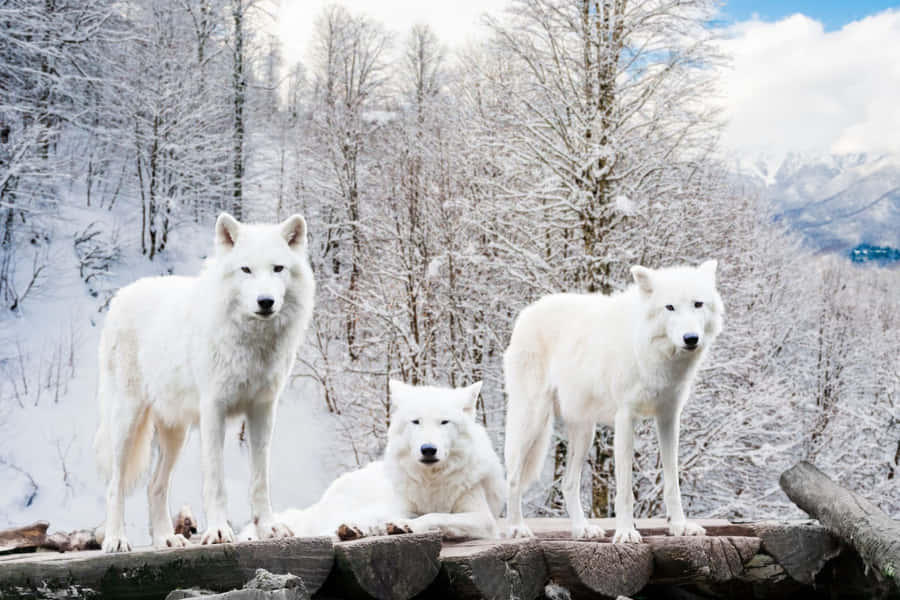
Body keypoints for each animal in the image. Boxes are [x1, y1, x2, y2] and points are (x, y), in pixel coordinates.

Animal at [93, 213, 315, 552]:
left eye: (278, 268)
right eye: (246, 269)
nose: (265, 301)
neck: (252, 343)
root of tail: (121, 295)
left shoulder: (263, 410)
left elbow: (260, 479)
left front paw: (269, 528)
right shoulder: (214, 410)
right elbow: (216, 480)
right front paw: (219, 531)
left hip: (175, 434)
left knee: (154, 486)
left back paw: (166, 539)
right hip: (126, 422)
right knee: (114, 484)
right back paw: (116, 540)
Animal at [240, 380, 505, 541]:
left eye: (444, 422)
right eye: (416, 422)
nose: (428, 449)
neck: (432, 482)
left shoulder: (483, 519)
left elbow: (437, 517)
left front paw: (407, 525)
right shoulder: (402, 506)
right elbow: (416, 516)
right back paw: (351, 529)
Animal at [503, 261, 723, 542]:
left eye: (698, 304)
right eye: (670, 307)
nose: (691, 338)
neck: (652, 352)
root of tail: (528, 311)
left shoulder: (668, 418)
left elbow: (672, 482)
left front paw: (680, 526)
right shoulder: (625, 418)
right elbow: (625, 489)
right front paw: (626, 532)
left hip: (584, 432)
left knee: (568, 483)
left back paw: (582, 529)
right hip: (533, 420)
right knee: (513, 477)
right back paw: (516, 528)